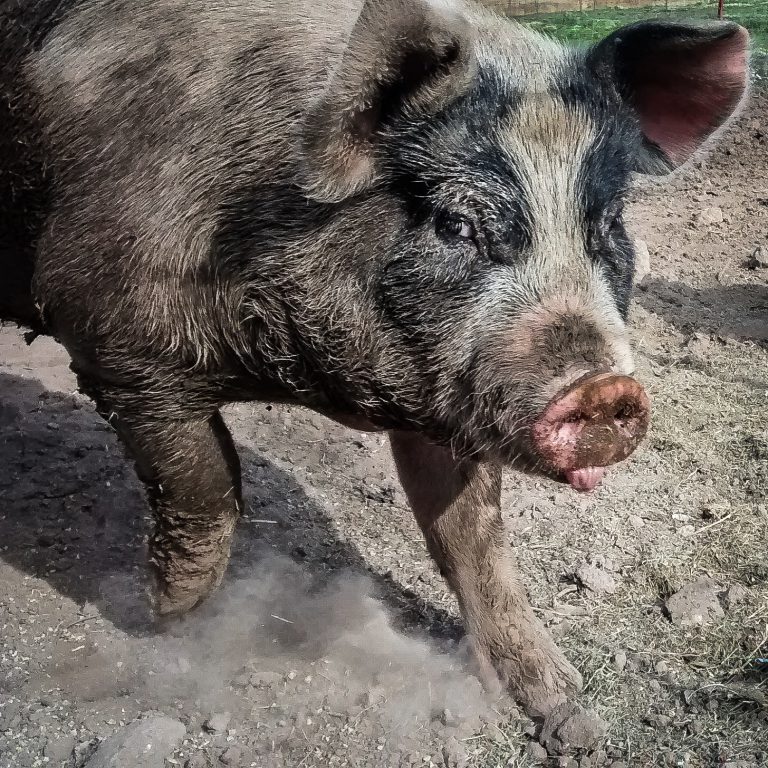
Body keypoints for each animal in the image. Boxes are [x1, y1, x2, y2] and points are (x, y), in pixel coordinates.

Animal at [0, 0, 749, 717]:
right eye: (455, 224)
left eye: (608, 226)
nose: (605, 391)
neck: (287, 371)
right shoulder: (114, 347)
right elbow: (207, 481)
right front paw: (167, 622)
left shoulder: (446, 400)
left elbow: (473, 538)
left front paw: (563, 708)